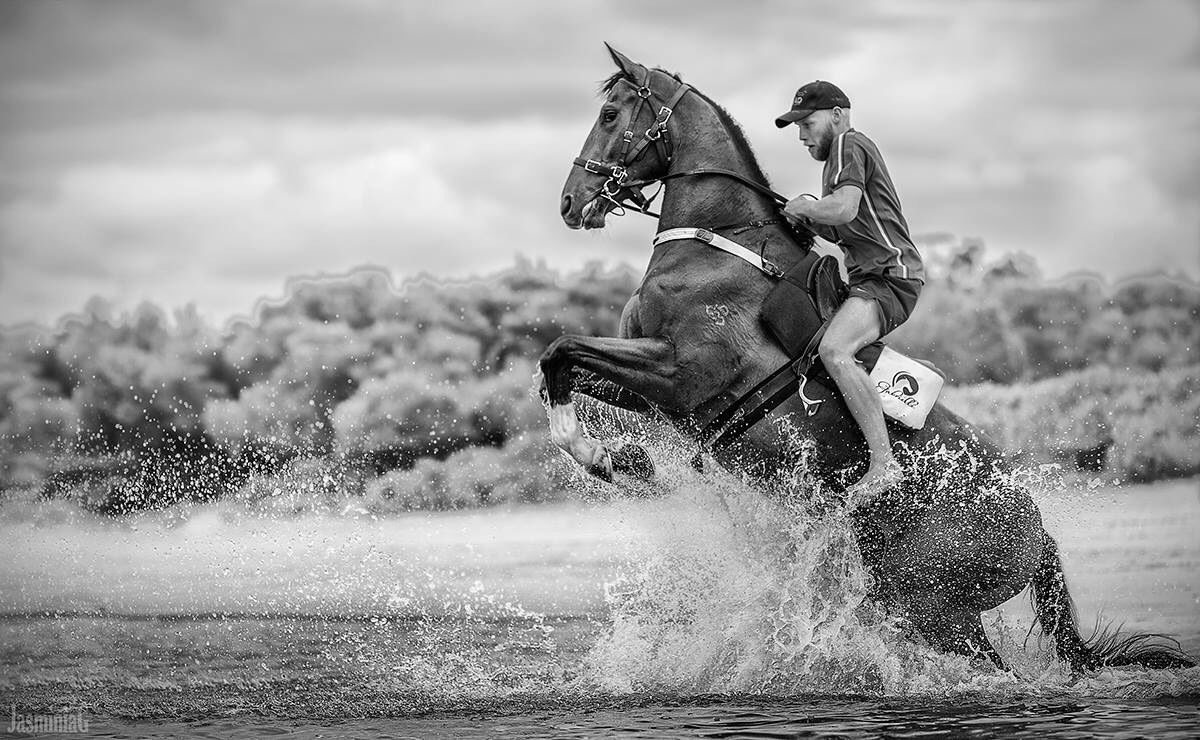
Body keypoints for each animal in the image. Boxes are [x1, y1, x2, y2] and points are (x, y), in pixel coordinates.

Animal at [540, 44, 1193, 673]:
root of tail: (1037, 532)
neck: (719, 242)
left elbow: (558, 352)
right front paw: (617, 457)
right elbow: (562, 369)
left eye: (610, 115)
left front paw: (609, 455)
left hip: (928, 608)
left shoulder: (680, 376)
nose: (571, 203)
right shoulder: (661, 393)